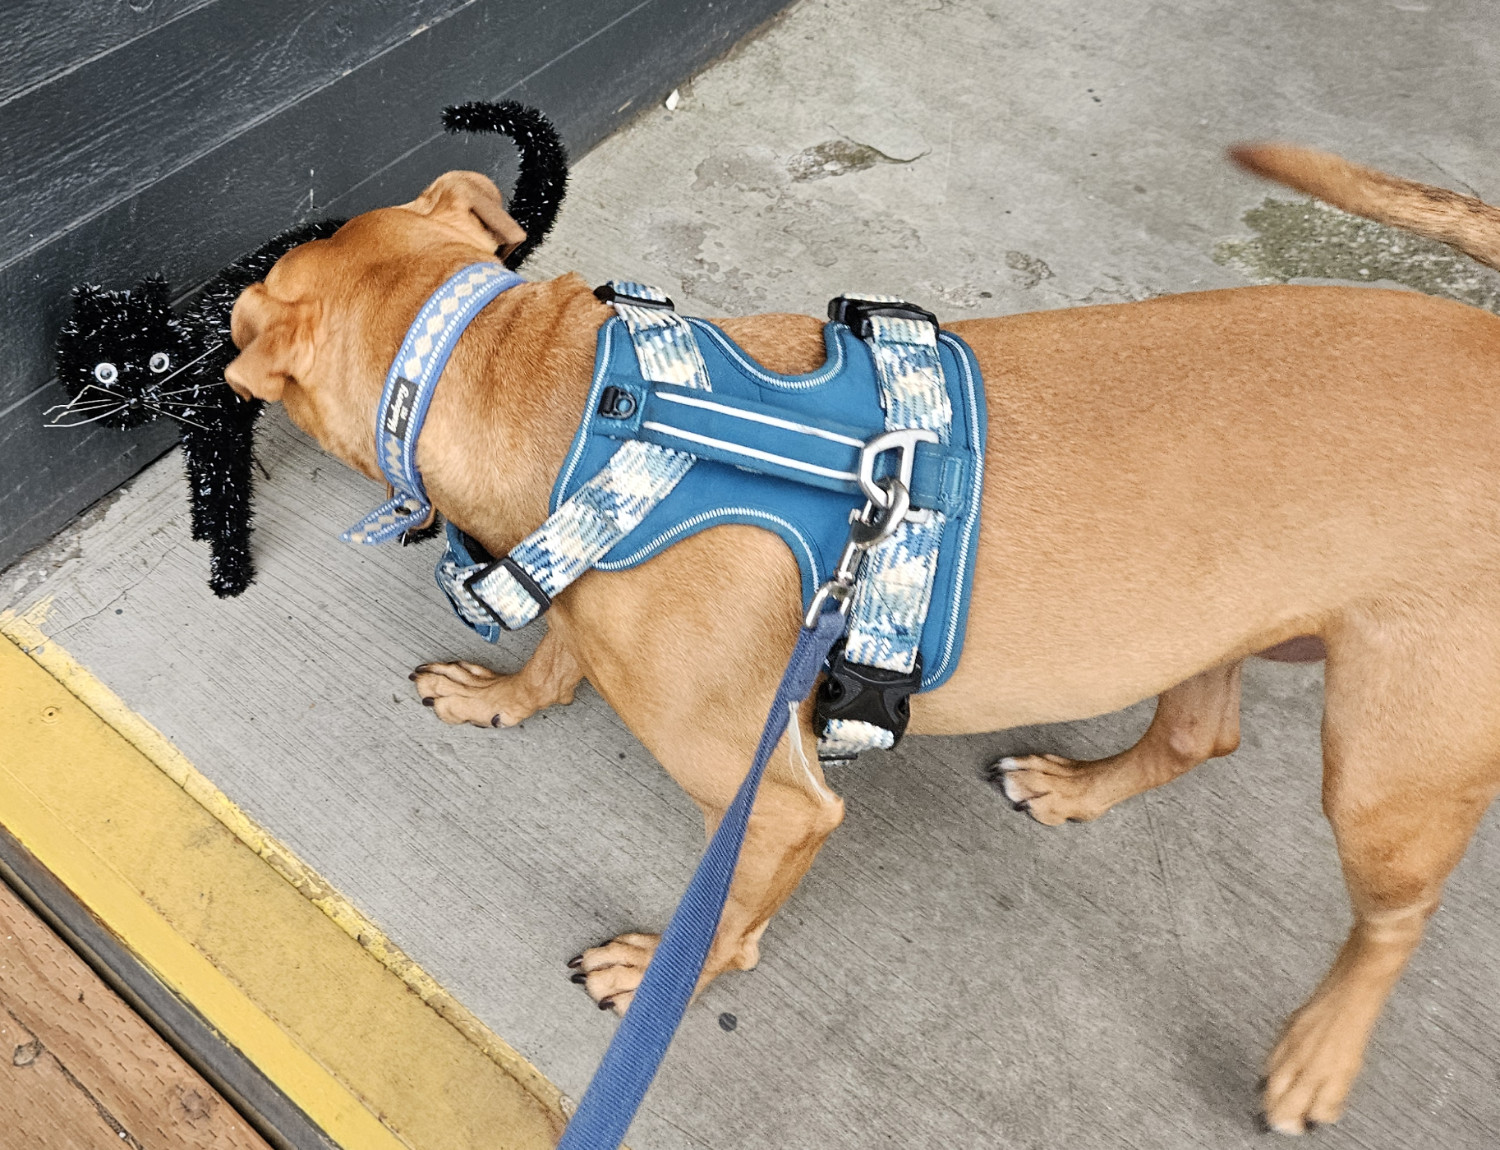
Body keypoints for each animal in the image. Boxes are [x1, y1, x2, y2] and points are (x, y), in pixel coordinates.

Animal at [51, 101, 567, 599]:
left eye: (155, 361)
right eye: (104, 370)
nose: (135, 396)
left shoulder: (223, 431)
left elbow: (229, 502)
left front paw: (229, 571)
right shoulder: (201, 434)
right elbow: (202, 484)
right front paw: (201, 525)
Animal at [222, 143, 1500, 1133]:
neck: (586, 405)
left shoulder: (777, 803)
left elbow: (727, 921)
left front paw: (661, 972)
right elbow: (556, 654)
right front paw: (500, 693)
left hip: (1389, 767)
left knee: (1397, 914)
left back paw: (1321, 1049)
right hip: (1215, 627)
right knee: (1201, 735)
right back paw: (1079, 789)